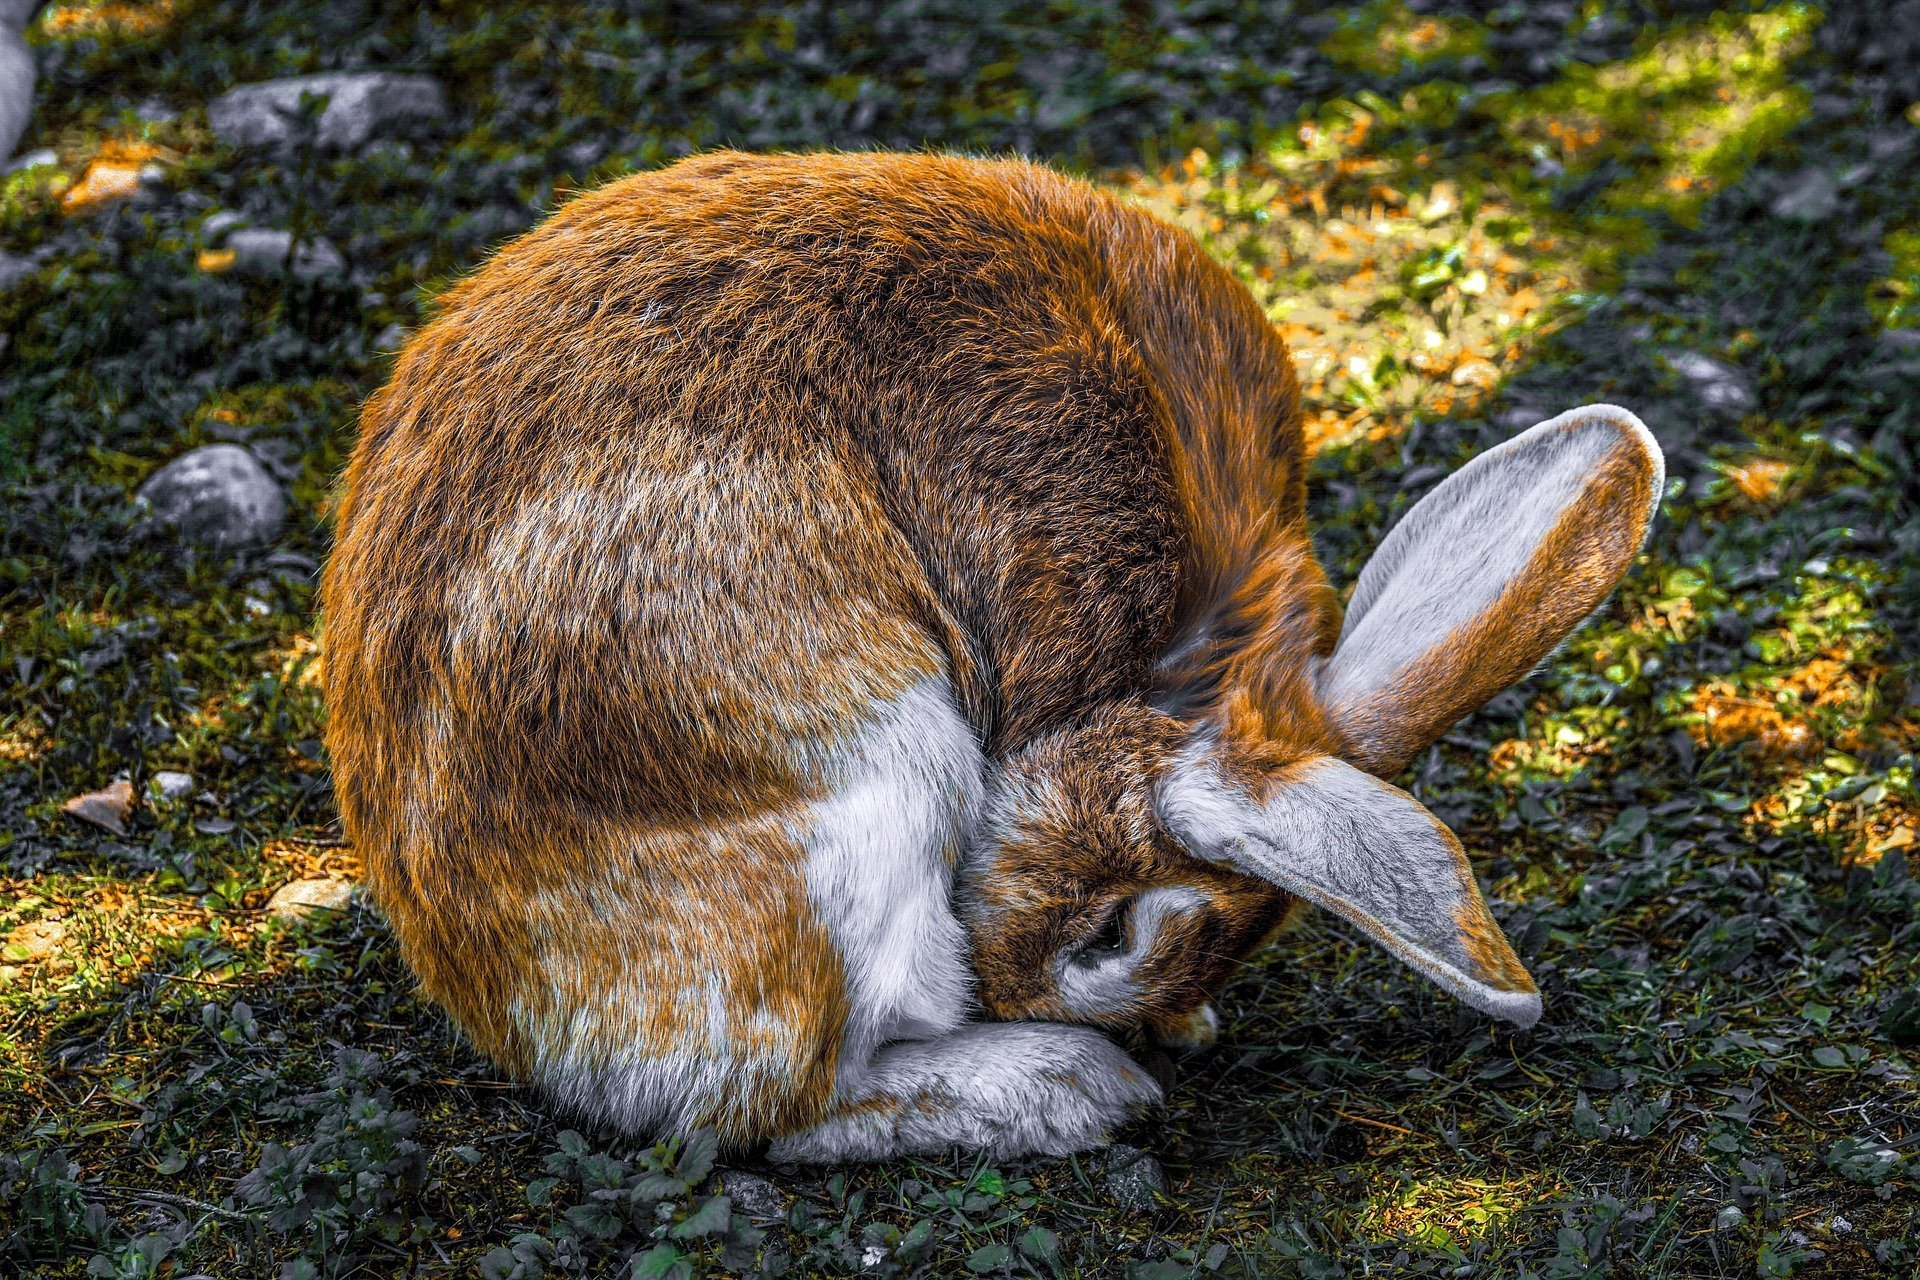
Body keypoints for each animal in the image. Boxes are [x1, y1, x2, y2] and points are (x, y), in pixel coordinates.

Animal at [322, 144, 1658, 1166]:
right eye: (1118, 934)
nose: (1045, 991)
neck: (1167, 670)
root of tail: (492, 986)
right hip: (875, 780)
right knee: (781, 1105)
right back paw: (1068, 1086)